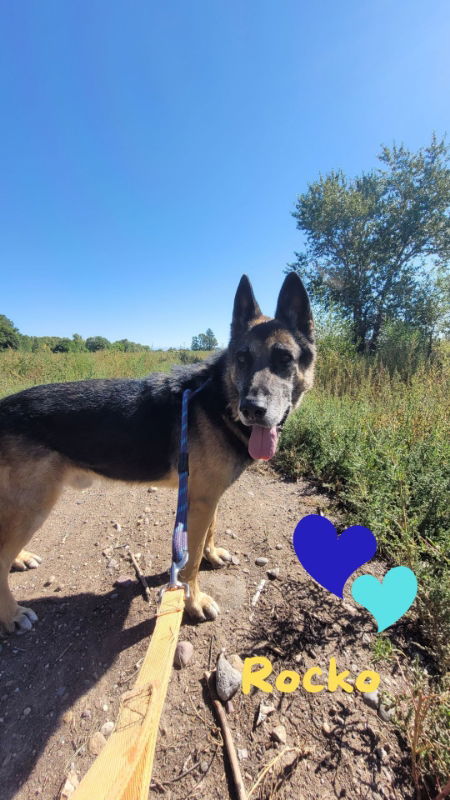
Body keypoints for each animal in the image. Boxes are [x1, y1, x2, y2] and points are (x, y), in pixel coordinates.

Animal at [0, 276, 314, 636]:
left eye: (284, 358)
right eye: (242, 358)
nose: (252, 409)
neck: (220, 398)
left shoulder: (206, 497)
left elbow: (210, 531)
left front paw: (211, 555)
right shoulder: (200, 500)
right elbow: (189, 563)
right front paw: (192, 603)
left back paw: (20, 558)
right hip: (33, 504)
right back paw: (11, 614)